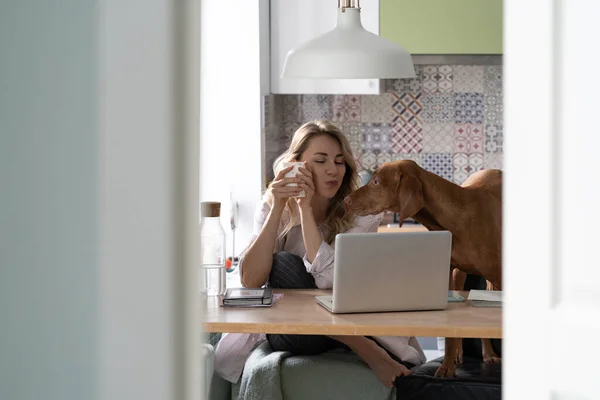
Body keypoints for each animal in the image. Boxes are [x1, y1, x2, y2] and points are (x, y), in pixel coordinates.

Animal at [342, 160, 502, 378]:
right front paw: (446, 367)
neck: (458, 216)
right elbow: (451, 332)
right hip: (459, 275)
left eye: (375, 181)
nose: (345, 200)